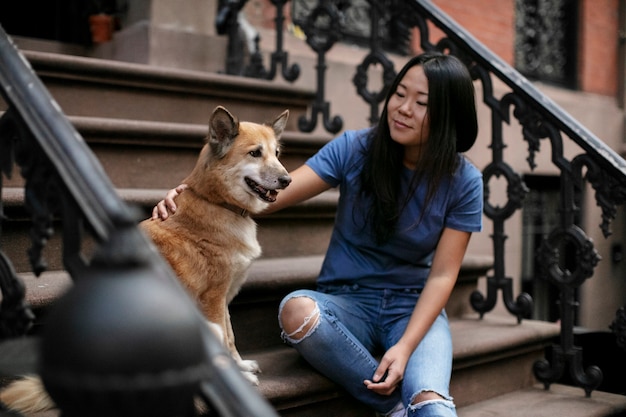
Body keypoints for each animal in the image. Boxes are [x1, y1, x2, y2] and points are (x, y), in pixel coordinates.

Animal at [0, 105, 292, 412]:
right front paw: (240, 378)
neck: (216, 202)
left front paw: (241, 366)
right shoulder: (213, 298)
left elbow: (232, 336)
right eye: (255, 153)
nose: (288, 181)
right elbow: (225, 338)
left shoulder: (223, 298)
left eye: (276, 153)